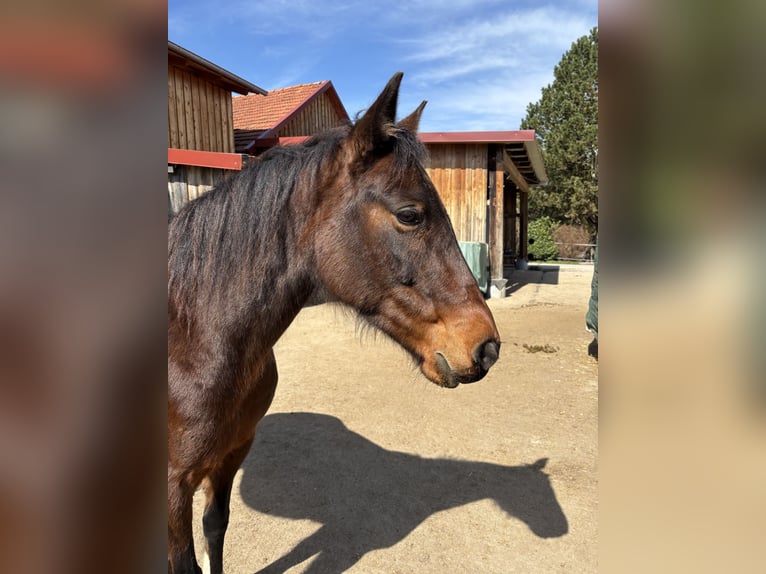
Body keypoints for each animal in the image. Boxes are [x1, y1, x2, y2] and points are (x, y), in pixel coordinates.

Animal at [168, 72, 501, 574]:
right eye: (409, 214)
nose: (487, 346)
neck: (193, 341)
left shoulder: (229, 455)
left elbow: (216, 529)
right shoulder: (173, 484)